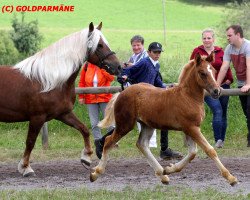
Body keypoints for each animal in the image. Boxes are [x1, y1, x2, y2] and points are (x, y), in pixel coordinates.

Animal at [0, 22, 121, 177]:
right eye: (99, 45)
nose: (118, 66)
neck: (49, 80)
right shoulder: (37, 117)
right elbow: (30, 142)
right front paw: (26, 167)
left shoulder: (63, 114)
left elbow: (84, 129)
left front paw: (86, 157)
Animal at [90, 52, 238, 186]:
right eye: (202, 73)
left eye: (213, 70)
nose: (217, 91)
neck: (188, 97)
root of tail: (122, 93)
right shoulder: (191, 128)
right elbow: (209, 150)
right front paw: (231, 178)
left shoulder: (189, 129)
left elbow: (192, 153)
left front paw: (169, 169)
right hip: (125, 124)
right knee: (109, 141)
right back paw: (95, 173)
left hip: (147, 125)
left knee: (142, 144)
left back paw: (163, 175)